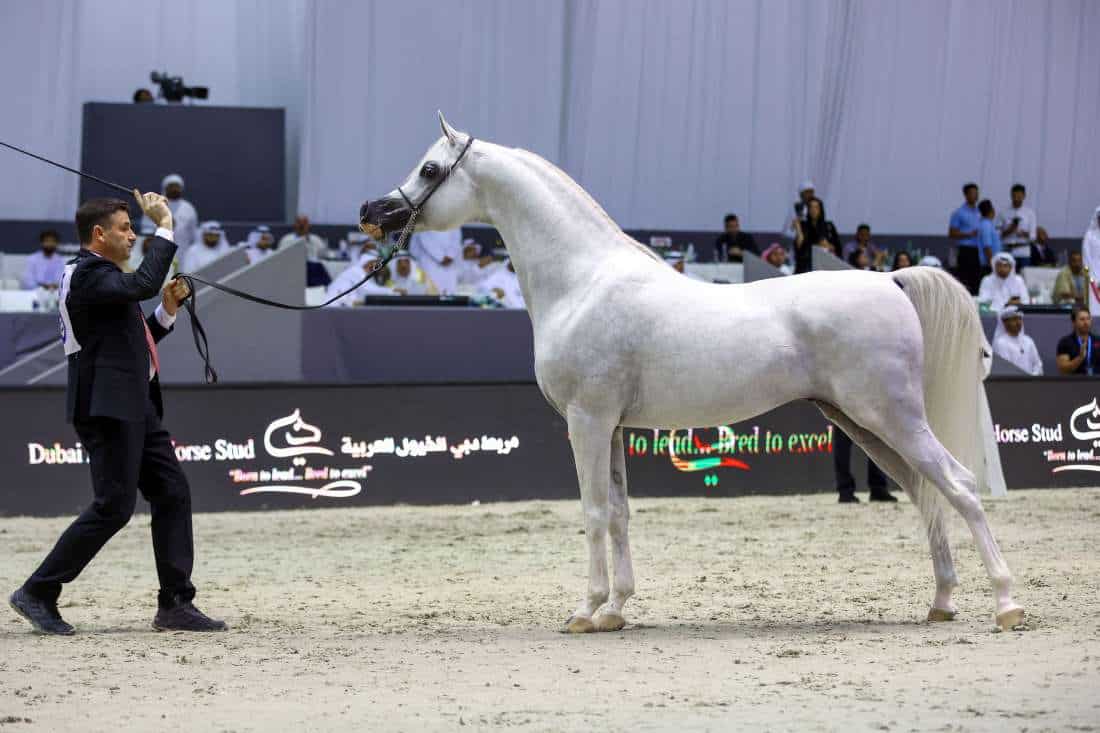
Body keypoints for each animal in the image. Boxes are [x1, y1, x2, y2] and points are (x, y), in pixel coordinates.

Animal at [359, 113, 1025, 634]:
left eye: (429, 170)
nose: (372, 210)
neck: (584, 281)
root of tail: (890, 279)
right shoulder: (613, 427)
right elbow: (620, 513)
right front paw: (616, 611)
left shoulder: (587, 421)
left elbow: (593, 512)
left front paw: (586, 609)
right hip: (863, 424)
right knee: (925, 493)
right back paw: (941, 603)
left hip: (891, 418)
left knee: (960, 484)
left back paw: (1006, 604)